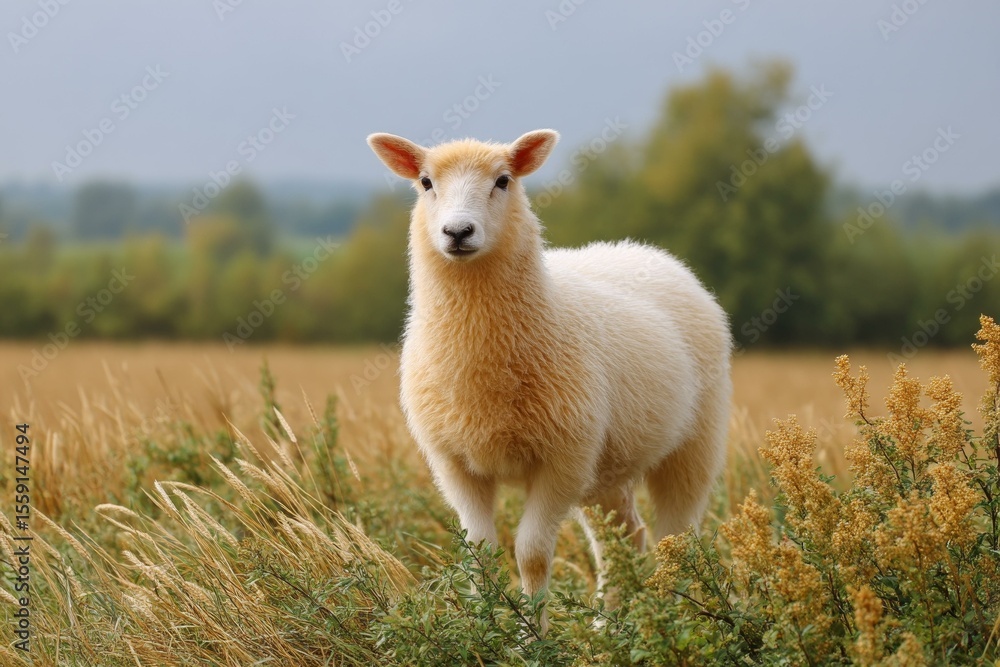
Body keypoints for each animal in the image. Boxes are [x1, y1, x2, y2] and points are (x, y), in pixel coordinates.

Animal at [367, 129, 732, 630]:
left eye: (503, 180)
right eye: (425, 182)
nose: (458, 232)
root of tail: (644, 250)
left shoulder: (561, 460)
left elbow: (532, 555)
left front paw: (533, 637)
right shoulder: (454, 463)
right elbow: (480, 555)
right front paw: (487, 633)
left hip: (692, 445)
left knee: (676, 540)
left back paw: (676, 623)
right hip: (605, 468)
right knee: (623, 541)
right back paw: (608, 628)